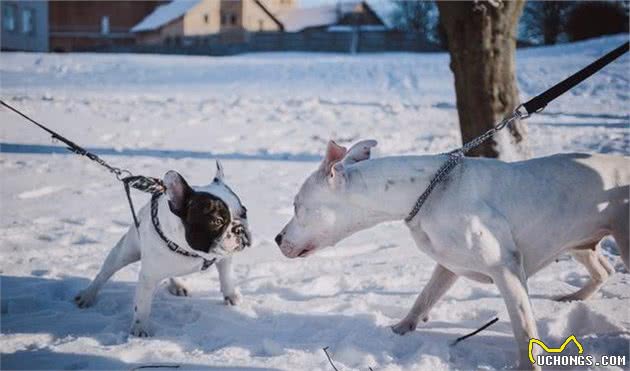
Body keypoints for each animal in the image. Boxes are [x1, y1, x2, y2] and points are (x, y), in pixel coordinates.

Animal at [75, 163, 251, 338]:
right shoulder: (148, 277)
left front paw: (231, 295)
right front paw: (140, 329)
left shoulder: (225, 257)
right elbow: (143, 305)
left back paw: (178, 285)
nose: (240, 229)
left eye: (244, 212)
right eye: (217, 221)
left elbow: (226, 276)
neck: (192, 252)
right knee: (104, 273)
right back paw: (87, 296)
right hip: (126, 252)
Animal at [276, 140, 630, 370]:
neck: (424, 192)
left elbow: (523, 326)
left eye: (296, 206)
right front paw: (399, 331)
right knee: (604, 269)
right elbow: (424, 297)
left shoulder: (506, 269)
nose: (277, 238)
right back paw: (573, 298)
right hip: (578, 242)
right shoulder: (447, 265)